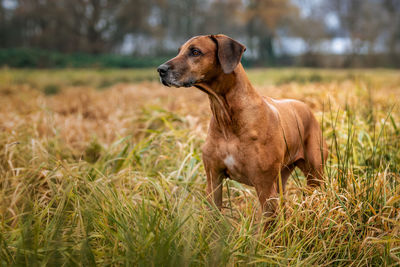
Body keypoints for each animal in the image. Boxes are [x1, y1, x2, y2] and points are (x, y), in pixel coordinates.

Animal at [156, 35, 328, 223]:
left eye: (195, 52)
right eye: (179, 51)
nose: (160, 70)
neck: (227, 119)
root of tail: (306, 106)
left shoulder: (265, 186)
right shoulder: (213, 179)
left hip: (314, 175)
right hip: (281, 177)